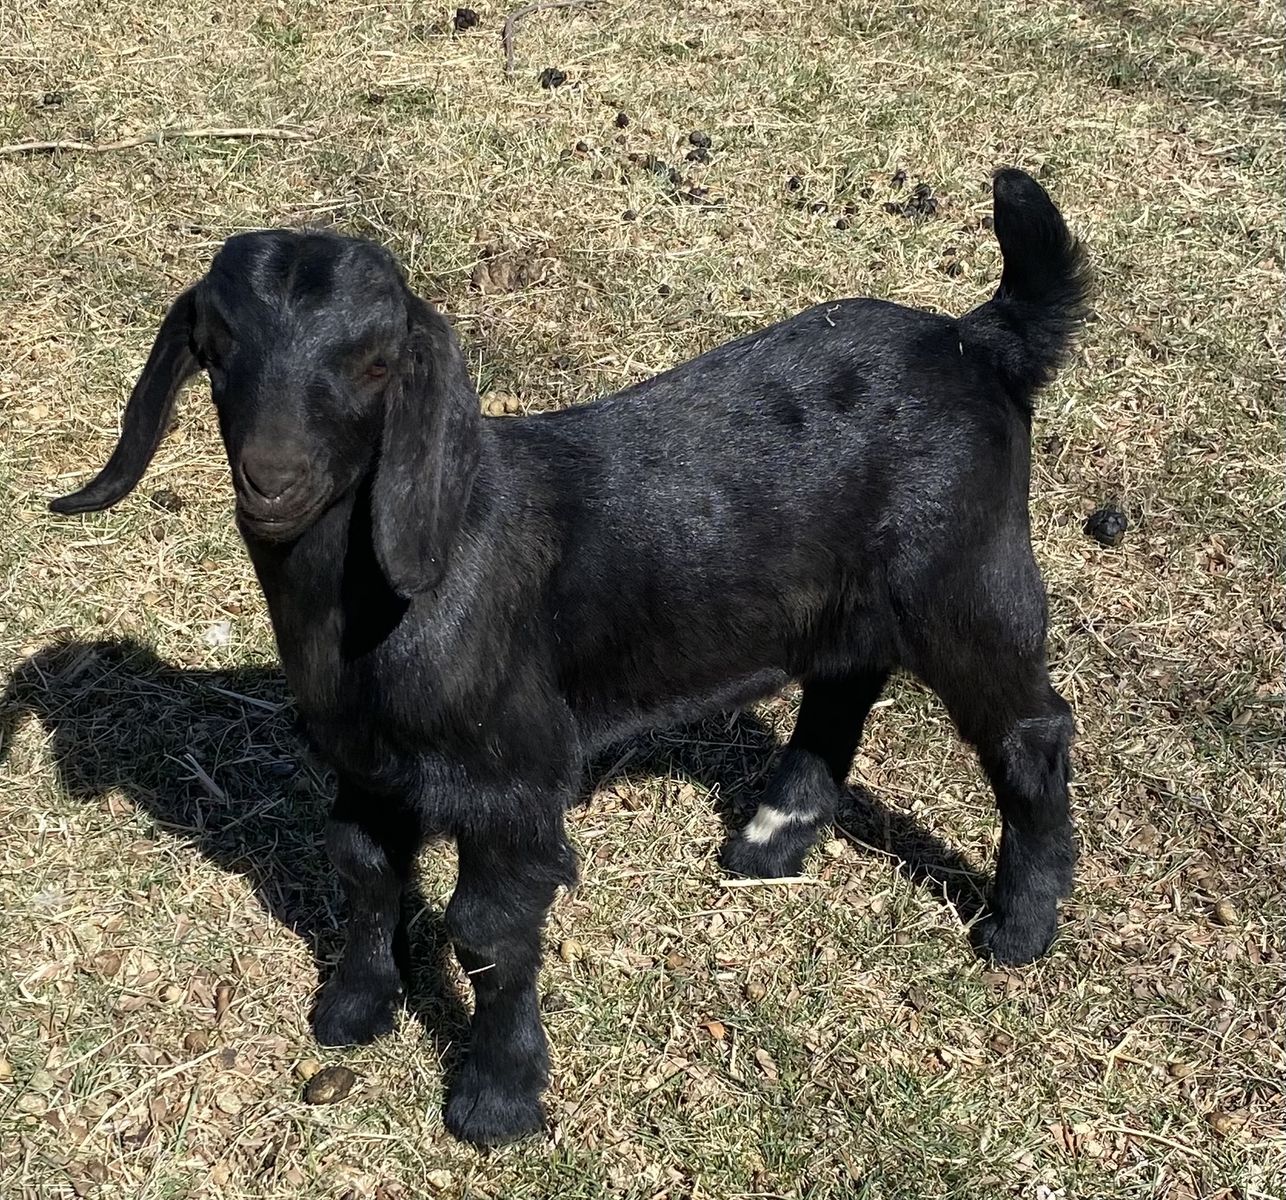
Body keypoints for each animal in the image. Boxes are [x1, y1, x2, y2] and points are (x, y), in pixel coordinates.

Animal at [49, 168, 1090, 1146]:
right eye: (218, 347)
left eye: (377, 362)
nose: (274, 480)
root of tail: (979, 343)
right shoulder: (366, 763)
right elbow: (362, 867)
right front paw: (352, 1009)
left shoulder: (512, 777)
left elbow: (489, 930)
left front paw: (497, 1098)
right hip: (848, 591)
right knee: (846, 678)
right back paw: (772, 835)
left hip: (967, 574)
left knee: (1029, 728)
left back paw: (1019, 926)